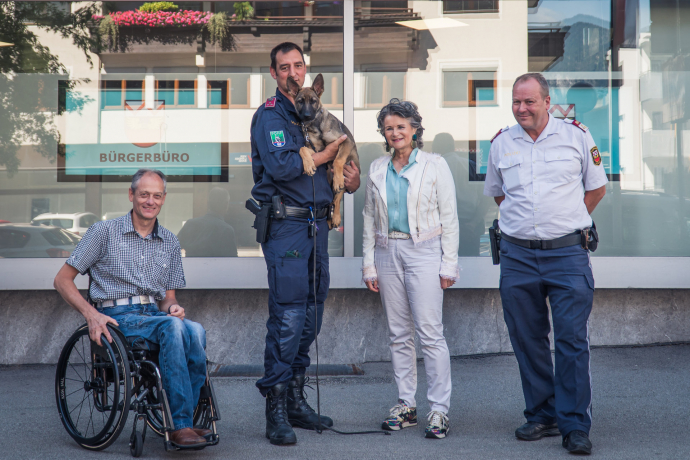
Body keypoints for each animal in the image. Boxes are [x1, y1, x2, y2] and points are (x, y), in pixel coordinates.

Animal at [284, 74, 360, 230]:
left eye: (313, 101)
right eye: (300, 101)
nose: (307, 116)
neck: (315, 125)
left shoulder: (346, 142)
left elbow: (338, 160)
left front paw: (338, 178)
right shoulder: (316, 149)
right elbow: (302, 149)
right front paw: (308, 165)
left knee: (337, 197)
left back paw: (335, 216)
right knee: (331, 200)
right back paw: (330, 220)